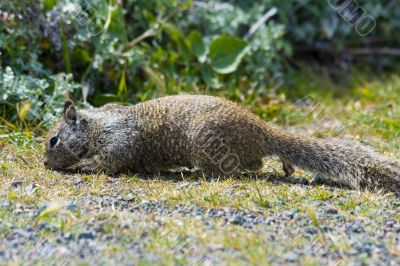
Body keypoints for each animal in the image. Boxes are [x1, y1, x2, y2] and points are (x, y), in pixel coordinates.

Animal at [44, 95, 400, 193]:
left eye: (53, 140)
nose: (44, 164)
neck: (97, 125)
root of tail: (262, 130)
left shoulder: (119, 140)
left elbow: (111, 160)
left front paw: (85, 165)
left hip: (210, 147)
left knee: (250, 165)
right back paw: (286, 165)